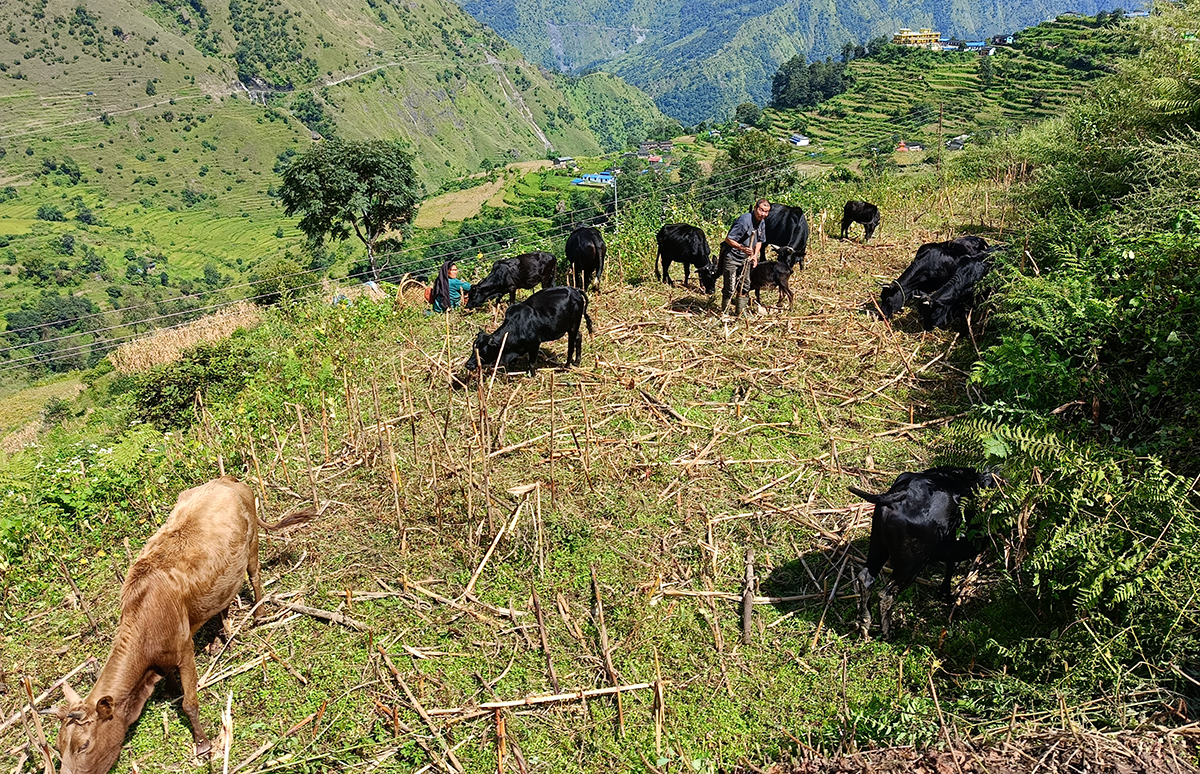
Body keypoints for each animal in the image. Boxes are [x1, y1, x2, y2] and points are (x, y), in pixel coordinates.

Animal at [51, 472, 316, 768]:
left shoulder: (184, 649)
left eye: (84, 745)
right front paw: (170, 689)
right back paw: (220, 637)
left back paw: (259, 615)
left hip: (252, 543)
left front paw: (202, 744)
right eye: (59, 747)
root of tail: (228, 479)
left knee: (255, 574)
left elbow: (190, 703)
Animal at [460, 286, 592, 376]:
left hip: (573, 326)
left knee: (571, 346)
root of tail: (574, 290)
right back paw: (577, 362)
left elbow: (532, 362)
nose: (468, 364)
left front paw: (531, 375)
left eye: (482, 351)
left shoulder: (534, 344)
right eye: (473, 347)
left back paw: (567, 366)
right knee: (579, 336)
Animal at [849, 465, 998, 638]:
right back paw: (887, 632)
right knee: (886, 595)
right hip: (911, 564)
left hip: (878, 545)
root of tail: (906, 494)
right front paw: (946, 595)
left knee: (866, 578)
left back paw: (864, 622)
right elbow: (951, 567)